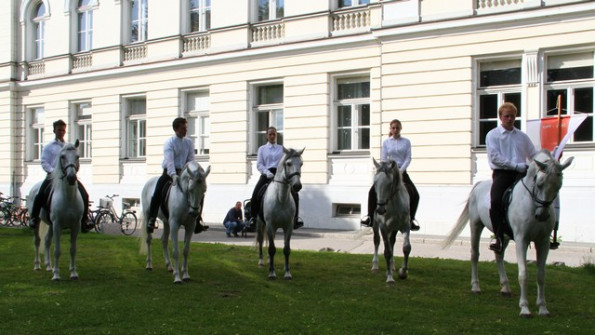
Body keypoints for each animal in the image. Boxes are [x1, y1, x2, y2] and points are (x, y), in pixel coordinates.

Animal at [29, 140, 84, 282]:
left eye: (77, 157)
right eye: (62, 157)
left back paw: (49, 266)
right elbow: (57, 250)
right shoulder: (58, 225)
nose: (71, 177)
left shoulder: (75, 225)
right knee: (37, 241)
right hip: (38, 222)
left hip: (50, 224)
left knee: (47, 241)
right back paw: (37, 266)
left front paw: (73, 273)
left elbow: (72, 249)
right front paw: (56, 275)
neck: (68, 198)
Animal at [256, 147, 304, 280]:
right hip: (260, 223)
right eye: (288, 163)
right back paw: (261, 261)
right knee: (261, 240)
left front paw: (287, 272)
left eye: (301, 164)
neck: (281, 198)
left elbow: (286, 249)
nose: (297, 186)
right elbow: (272, 249)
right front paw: (272, 273)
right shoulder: (270, 225)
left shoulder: (288, 226)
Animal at [444, 150, 576, 318]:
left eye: (559, 185)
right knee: (475, 255)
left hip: (503, 236)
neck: (531, 203)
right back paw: (475, 287)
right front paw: (525, 308)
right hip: (476, 225)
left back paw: (505, 288)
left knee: (499, 255)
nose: (542, 216)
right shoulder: (521, 240)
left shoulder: (543, 242)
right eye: (539, 183)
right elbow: (523, 274)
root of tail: (479, 185)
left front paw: (543, 308)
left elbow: (541, 275)